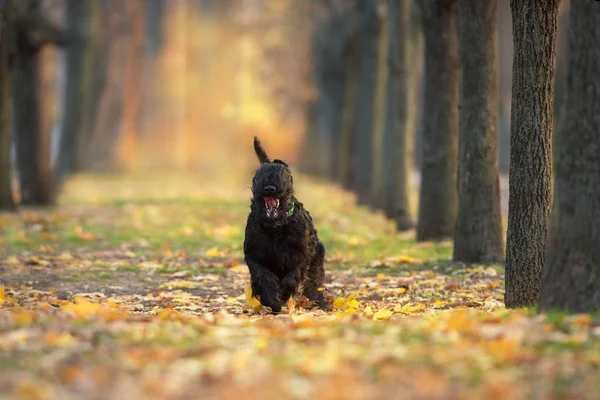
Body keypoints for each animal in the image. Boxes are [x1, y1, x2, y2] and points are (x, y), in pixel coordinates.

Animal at [243, 138, 330, 312]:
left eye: (284, 176)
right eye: (257, 176)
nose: (270, 188)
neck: (275, 228)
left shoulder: (300, 255)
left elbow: (292, 277)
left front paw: (283, 294)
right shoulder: (254, 255)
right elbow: (263, 277)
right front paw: (273, 300)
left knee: (314, 282)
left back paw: (319, 302)